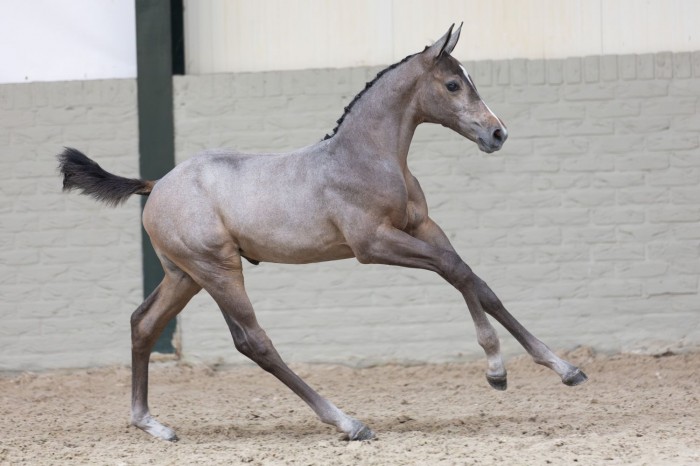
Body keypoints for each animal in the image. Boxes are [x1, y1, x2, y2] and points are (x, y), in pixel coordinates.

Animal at [58, 24, 584, 440]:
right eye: (453, 83)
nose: (497, 134)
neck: (367, 156)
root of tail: (156, 184)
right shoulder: (372, 244)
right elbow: (454, 270)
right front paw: (497, 367)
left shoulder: (422, 227)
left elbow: (475, 280)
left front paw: (562, 369)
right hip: (217, 269)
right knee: (253, 342)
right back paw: (348, 422)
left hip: (184, 275)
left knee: (143, 324)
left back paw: (152, 425)